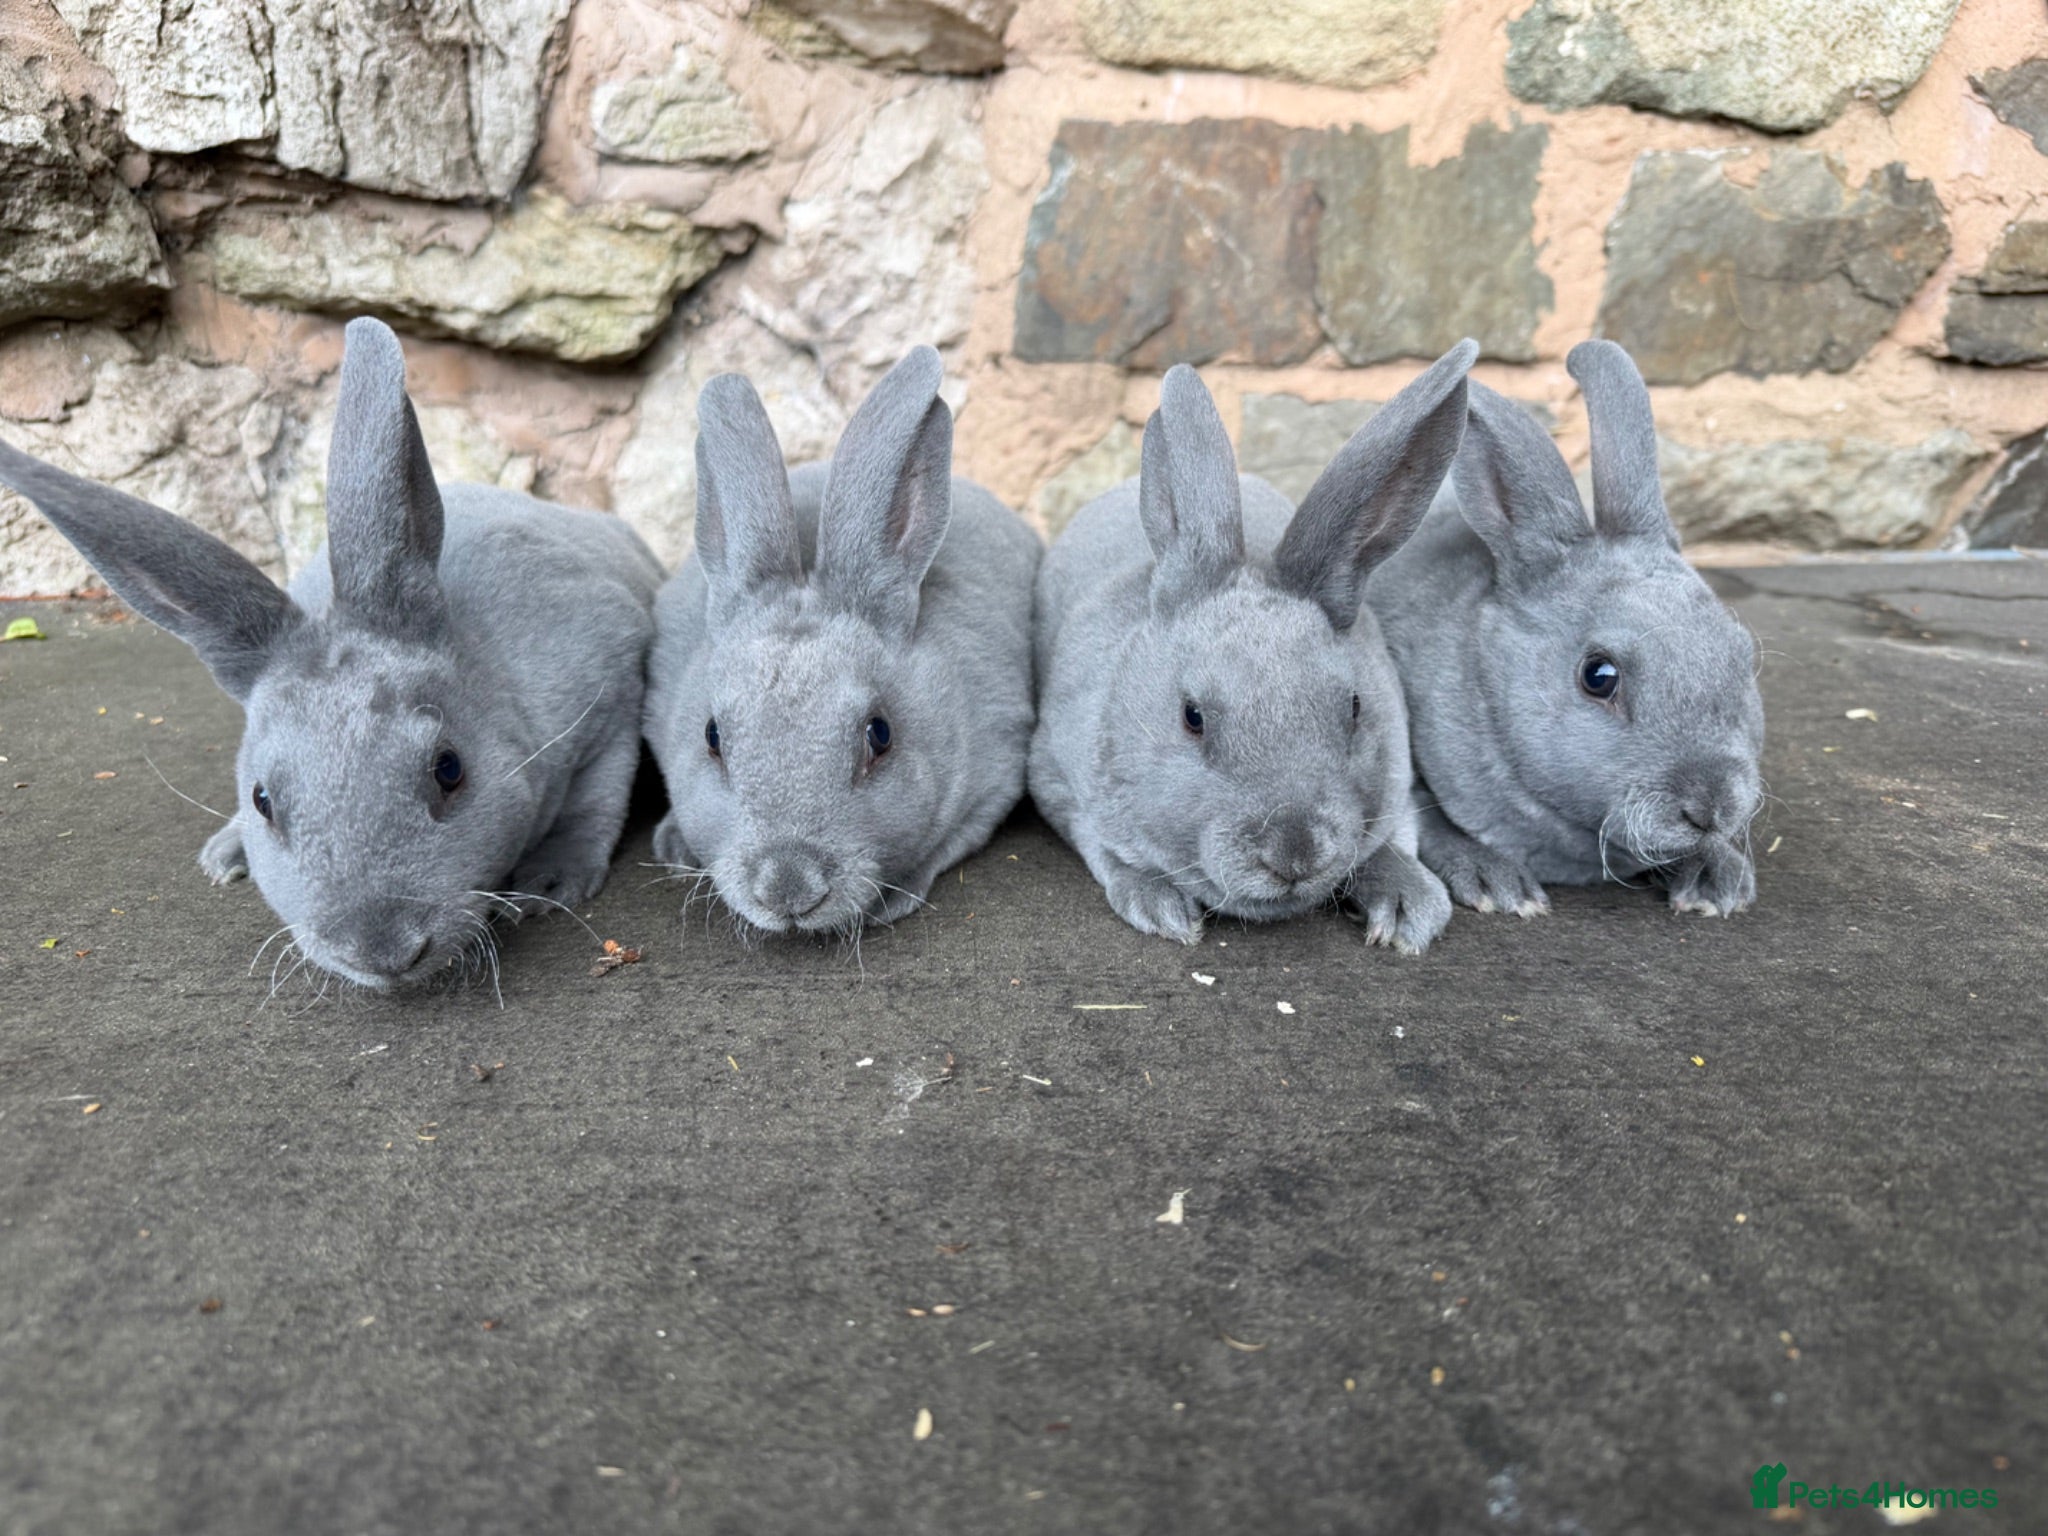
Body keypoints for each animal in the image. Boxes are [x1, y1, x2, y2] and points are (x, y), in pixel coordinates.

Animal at [0, 317, 663, 989]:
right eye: (262, 800)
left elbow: (596, 800)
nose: (384, 953)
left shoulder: (611, 702)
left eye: (450, 769)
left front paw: (549, 882)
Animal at [642, 345, 1041, 937]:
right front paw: (673, 847)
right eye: (711, 737)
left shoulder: (991, 780)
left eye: (881, 734)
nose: (788, 890)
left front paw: (891, 903)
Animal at [1028, 341, 1479, 951]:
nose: (1294, 854)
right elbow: (1108, 852)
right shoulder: (1057, 780)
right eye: (1191, 717)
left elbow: (1387, 845)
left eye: (1355, 708)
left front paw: (1409, 908)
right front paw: (1161, 908)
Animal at [1364, 339, 1764, 918]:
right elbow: (1431, 821)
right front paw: (1496, 883)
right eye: (1598, 676)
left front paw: (1717, 880)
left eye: (1742, 656)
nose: (1711, 808)